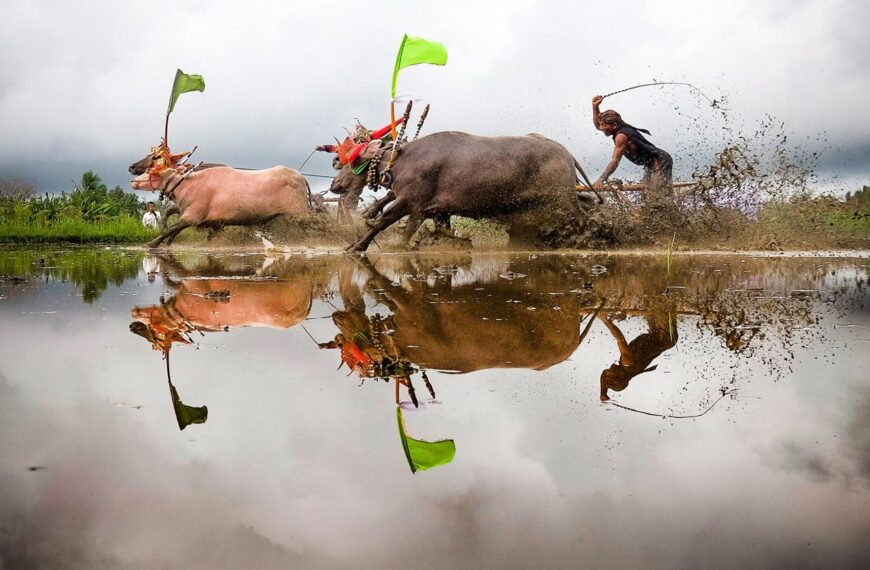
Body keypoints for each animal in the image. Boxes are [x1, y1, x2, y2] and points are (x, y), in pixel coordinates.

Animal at [133, 163, 314, 245]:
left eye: (150, 171)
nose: (133, 181)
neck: (187, 185)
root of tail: (300, 176)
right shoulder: (214, 224)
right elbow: (174, 229)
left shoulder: (192, 216)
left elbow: (172, 228)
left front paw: (152, 244)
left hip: (300, 214)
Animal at [328, 133, 600, 251]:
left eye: (353, 161)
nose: (334, 184)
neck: (400, 160)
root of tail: (566, 153)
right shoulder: (435, 211)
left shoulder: (410, 204)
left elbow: (385, 223)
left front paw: (356, 246)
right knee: (588, 203)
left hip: (560, 200)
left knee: (582, 218)